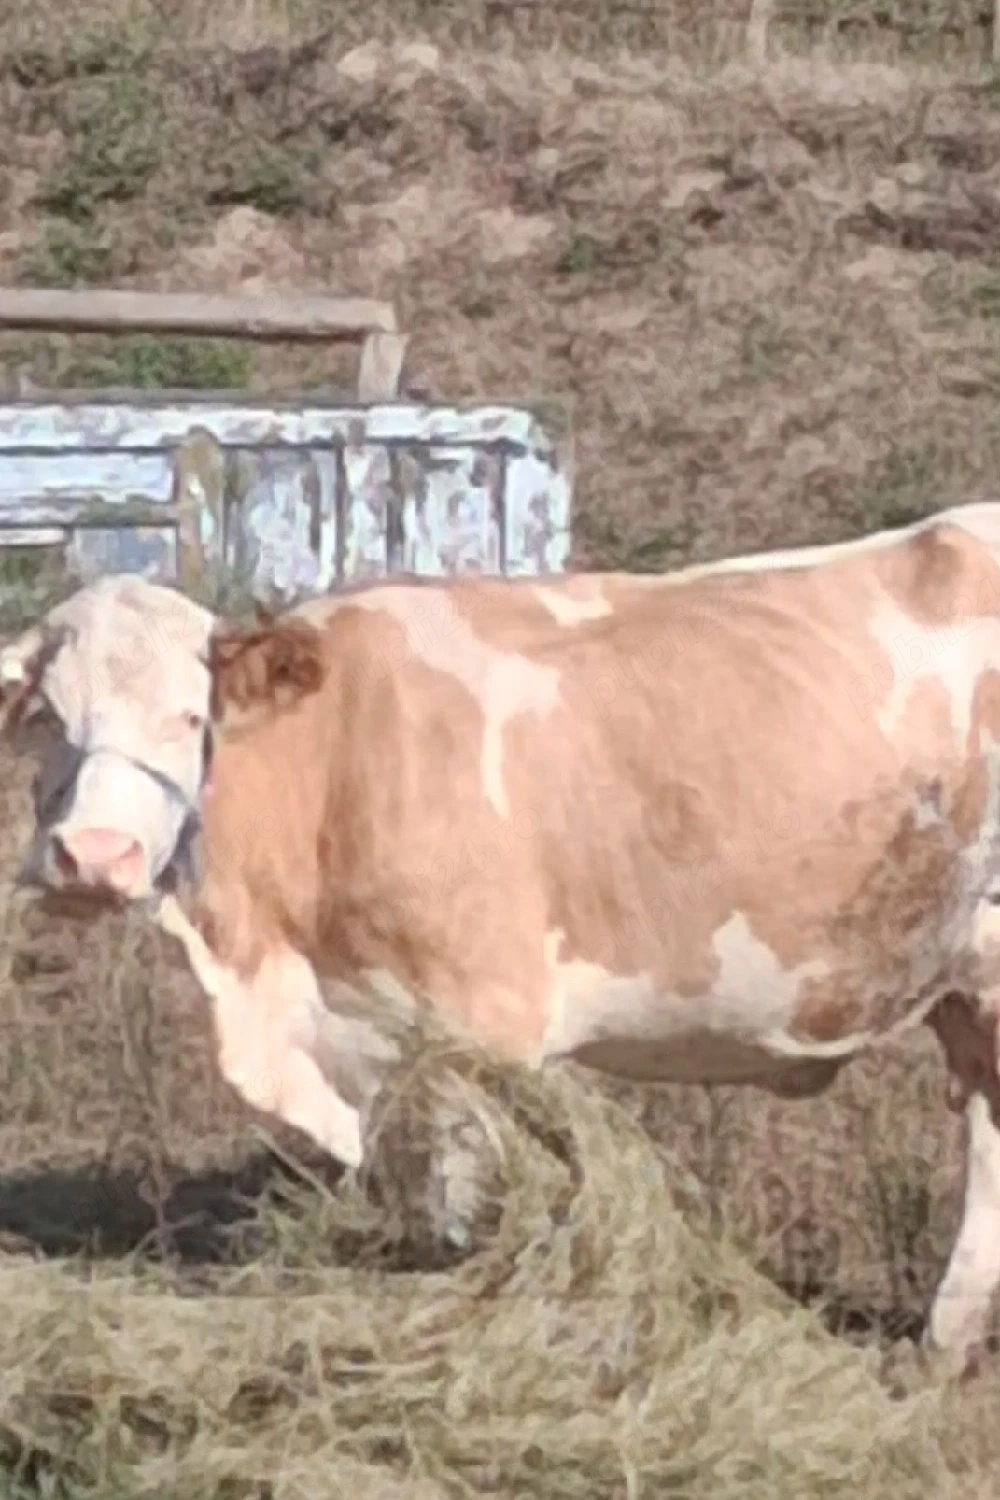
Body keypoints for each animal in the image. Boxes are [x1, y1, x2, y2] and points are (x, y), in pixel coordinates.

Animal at [5, 503, 1000, 1374]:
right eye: (47, 720)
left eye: (190, 716)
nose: (94, 855)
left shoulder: (480, 1028)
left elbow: (475, 1204)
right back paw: (941, 1347)